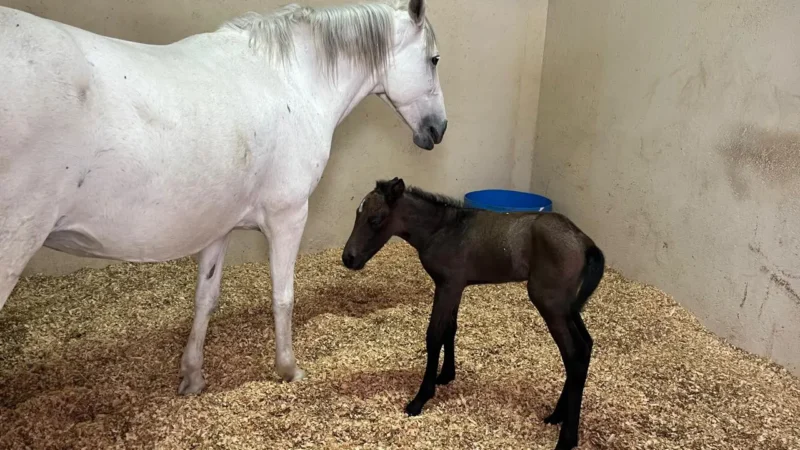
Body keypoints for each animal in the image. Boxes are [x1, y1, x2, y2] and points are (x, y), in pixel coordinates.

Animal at [0, 0, 446, 394]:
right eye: (434, 60)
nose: (438, 129)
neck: (290, 81)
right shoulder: (288, 217)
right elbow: (282, 296)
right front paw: (288, 368)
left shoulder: (219, 226)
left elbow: (205, 298)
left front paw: (193, 377)